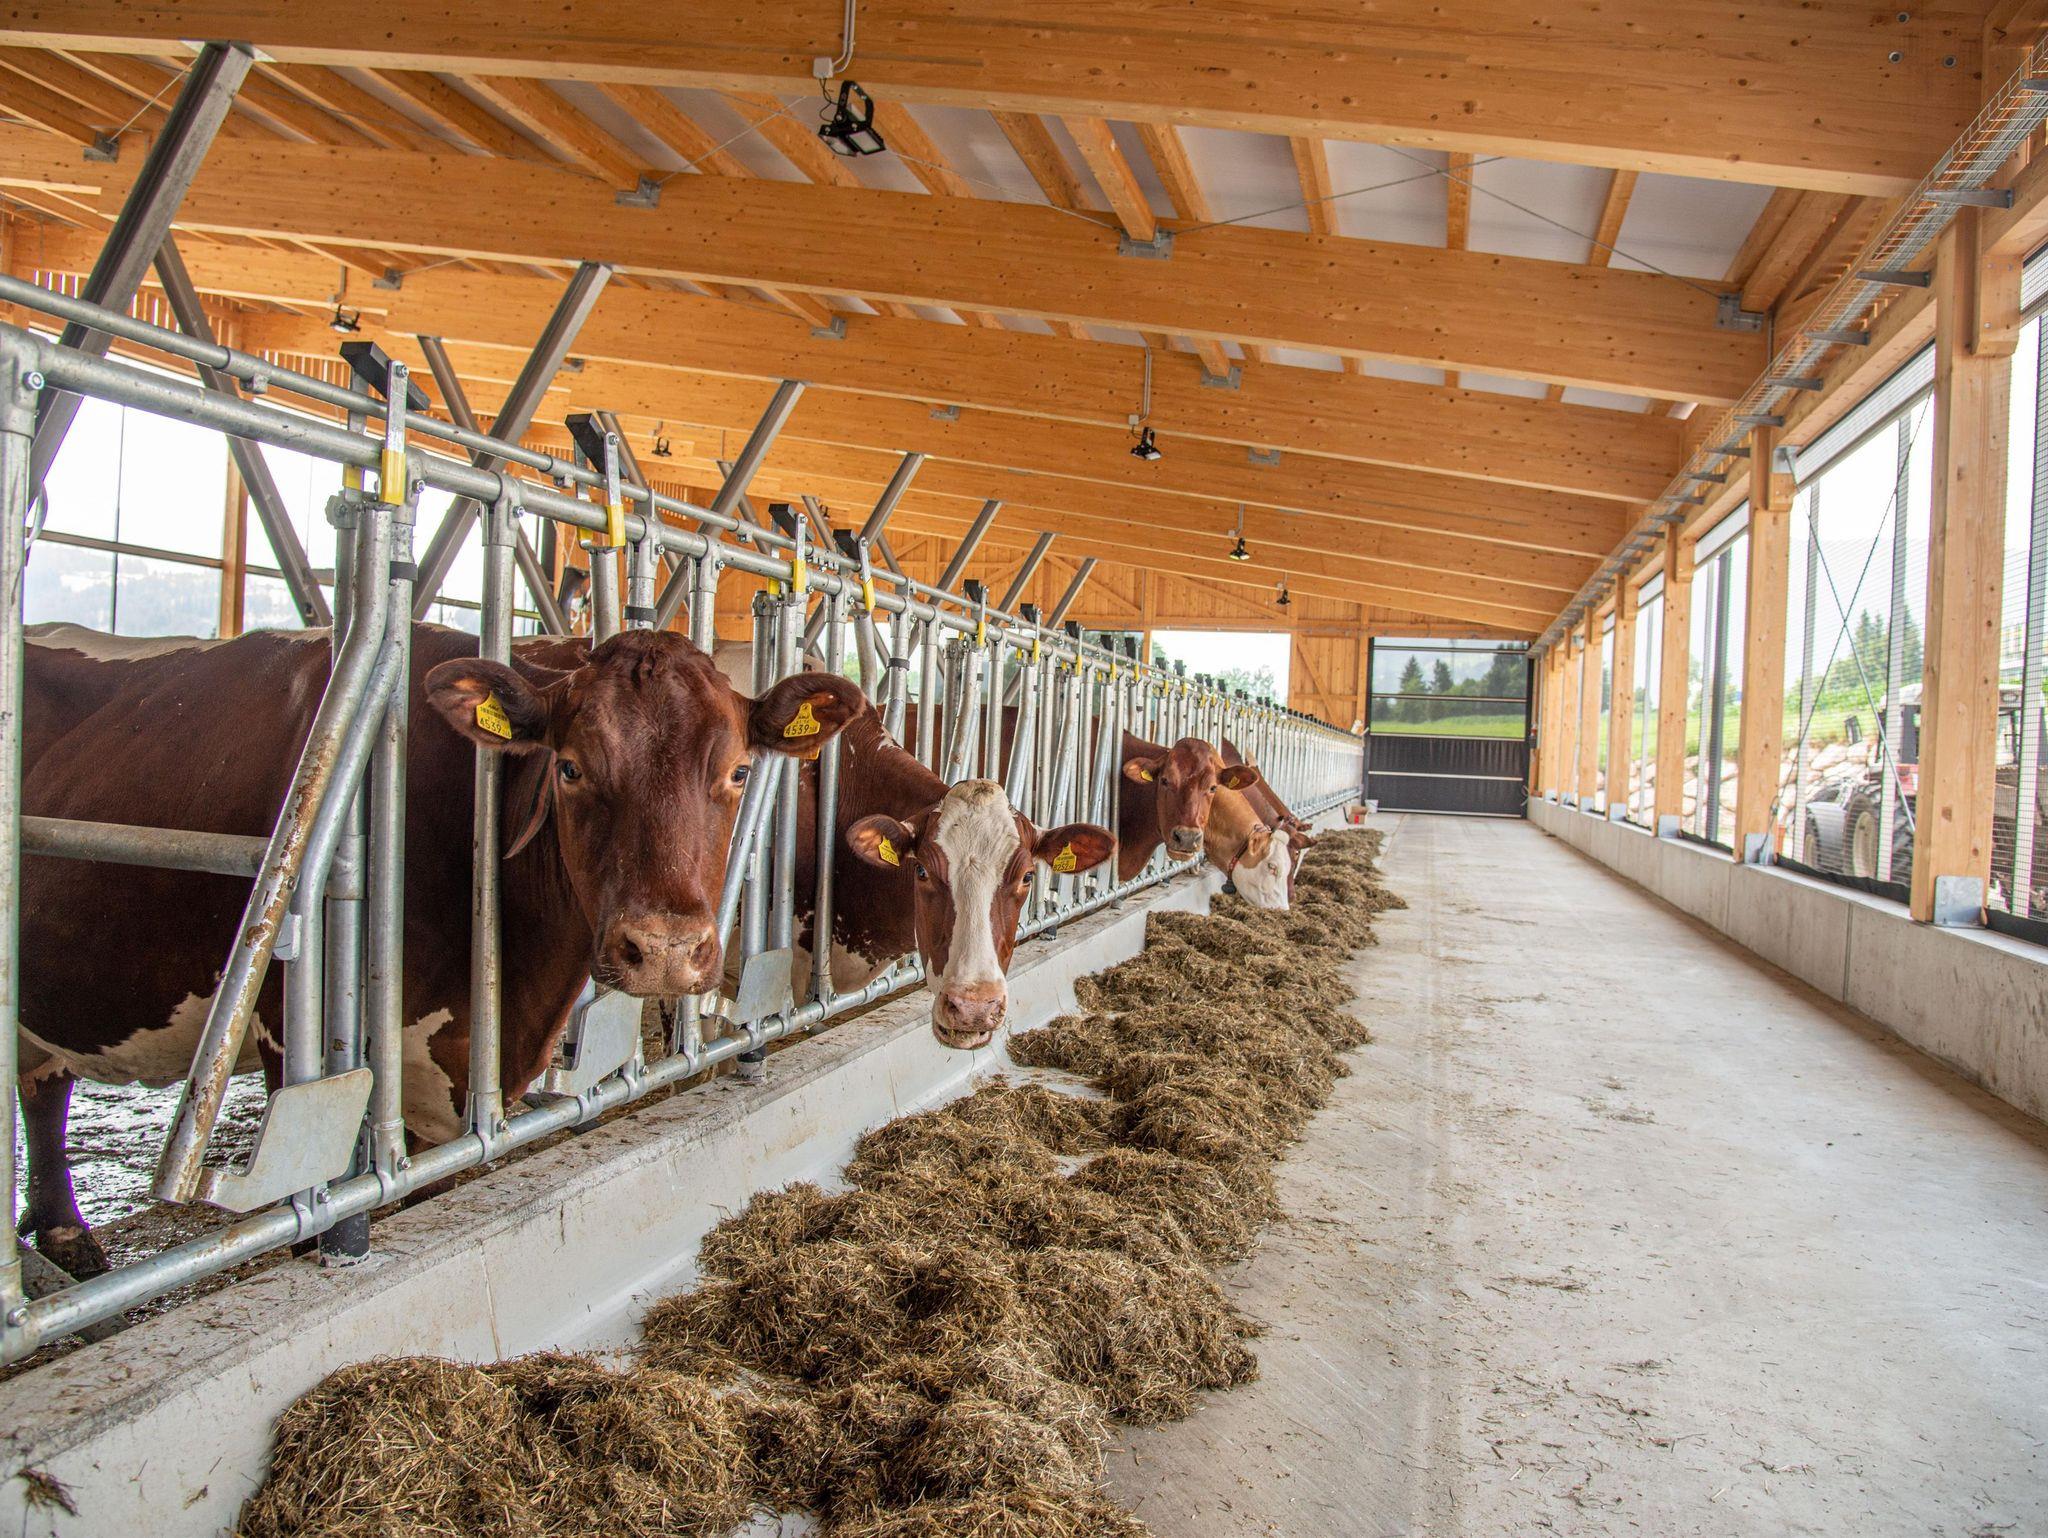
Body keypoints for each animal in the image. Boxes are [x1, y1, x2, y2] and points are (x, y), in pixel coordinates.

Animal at [16, 622, 863, 1277]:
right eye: (570, 767)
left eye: (740, 771)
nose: (661, 949)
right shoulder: (294, 1058)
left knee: (40, 1081)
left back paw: (61, 1232)